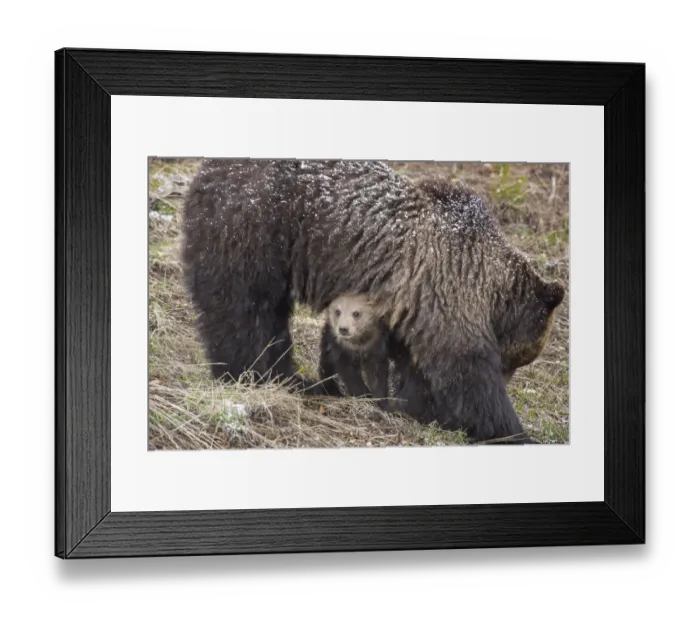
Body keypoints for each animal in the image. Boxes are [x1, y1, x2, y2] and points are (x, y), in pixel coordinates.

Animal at [181, 159, 565, 444]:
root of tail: (205, 172)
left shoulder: (415, 303)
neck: (488, 288)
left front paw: (418, 407)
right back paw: (254, 375)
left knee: (266, 317)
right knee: (244, 312)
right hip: (256, 230)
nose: (508, 374)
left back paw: (294, 379)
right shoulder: (448, 289)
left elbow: (418, 369)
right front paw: (509, 430)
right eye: (516, 359)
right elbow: (465, 370)